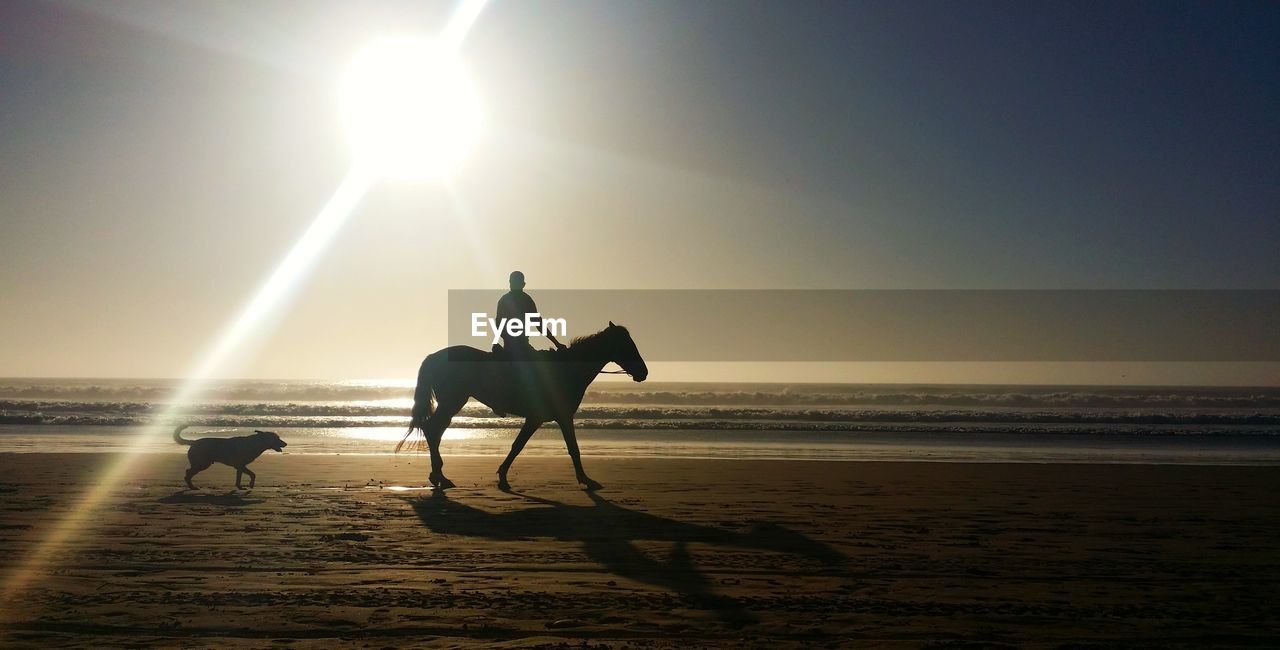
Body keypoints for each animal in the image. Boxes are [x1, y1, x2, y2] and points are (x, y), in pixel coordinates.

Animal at [401, 322, 650, 488]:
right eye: (627, 346)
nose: (644, 373)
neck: (567, 370)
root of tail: (435, 356)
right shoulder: (557, 416)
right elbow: (571, 448)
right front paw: (586, 480)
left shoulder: (539, 418)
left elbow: (518, 446)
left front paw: (502, 475)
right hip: (453, 401)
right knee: (433, 429)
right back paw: (440, 476)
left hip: (452, 402)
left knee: (436, 431)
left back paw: (437, 475)